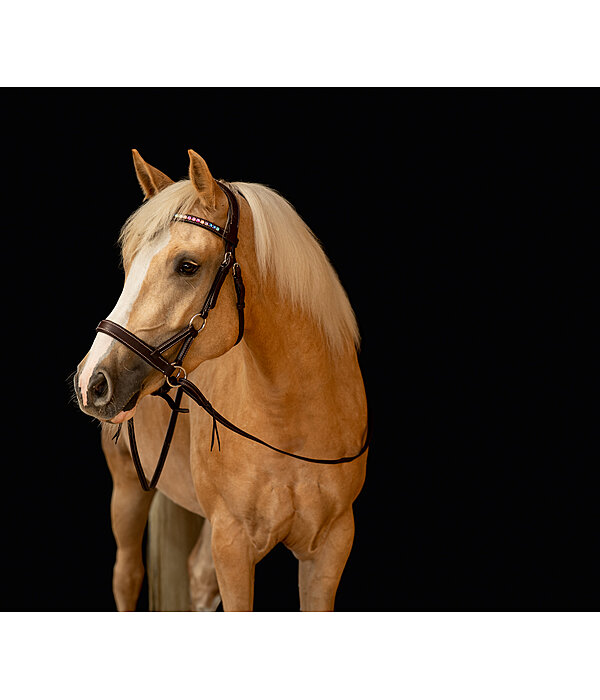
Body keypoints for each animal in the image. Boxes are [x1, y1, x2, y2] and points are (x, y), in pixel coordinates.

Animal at [72, 150, 368, 608]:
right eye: (127, 264)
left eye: (187, 266)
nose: (92, 381)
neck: (293, 419)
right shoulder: (232, 545)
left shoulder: (331, 549)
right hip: (127, 490)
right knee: (127, 576)